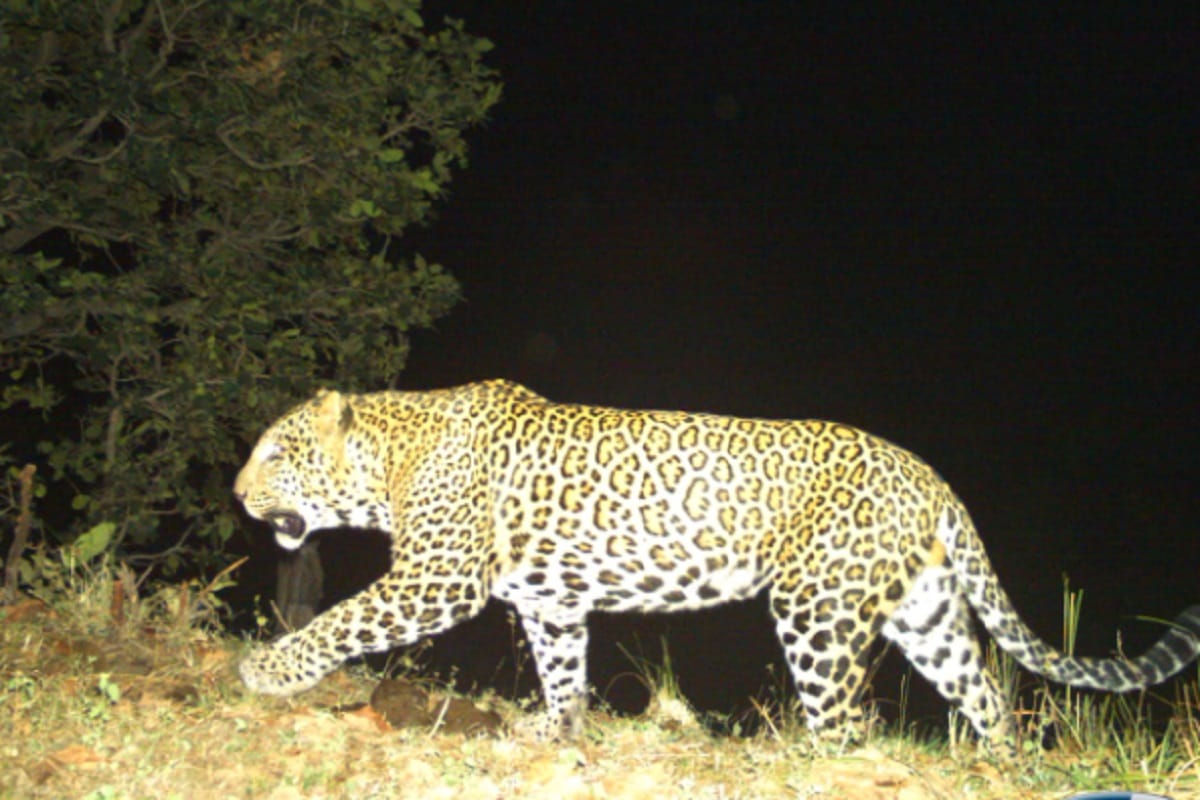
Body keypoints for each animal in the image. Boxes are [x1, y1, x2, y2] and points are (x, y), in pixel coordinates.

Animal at [234, 379, 1200, 753]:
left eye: (276, 453)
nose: (239, 497)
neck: (389, 464)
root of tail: (930, 476)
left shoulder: (436, 578)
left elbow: (339, 620)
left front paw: (268, 671)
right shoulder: (551, 601)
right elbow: (562, 669)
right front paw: (558, 729)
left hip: (817, 610)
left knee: (847, 722)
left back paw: (813, 764)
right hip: (922, 611)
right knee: (986, 688)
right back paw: (997, 764)